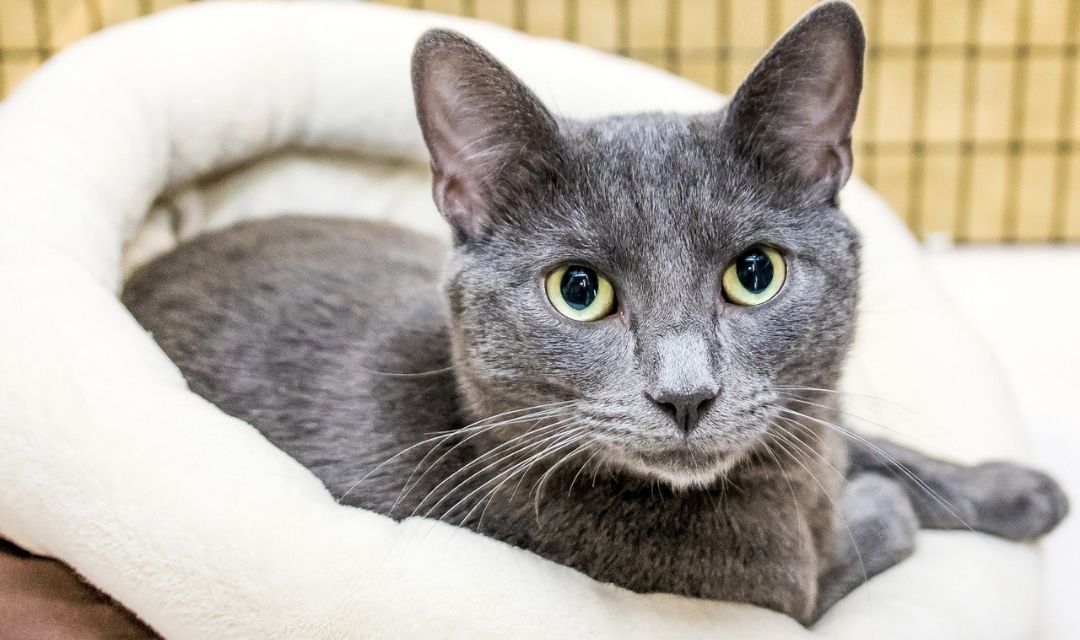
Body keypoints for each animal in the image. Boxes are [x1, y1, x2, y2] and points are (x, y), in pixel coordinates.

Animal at [124, 3, 1062, 625]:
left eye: (755, 274)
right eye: (580, 290)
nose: (687, 395)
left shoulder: (809, 417)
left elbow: (870, 442)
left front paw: (1020, 491)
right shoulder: (786, 595)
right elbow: (877, 521)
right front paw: (885, 500)